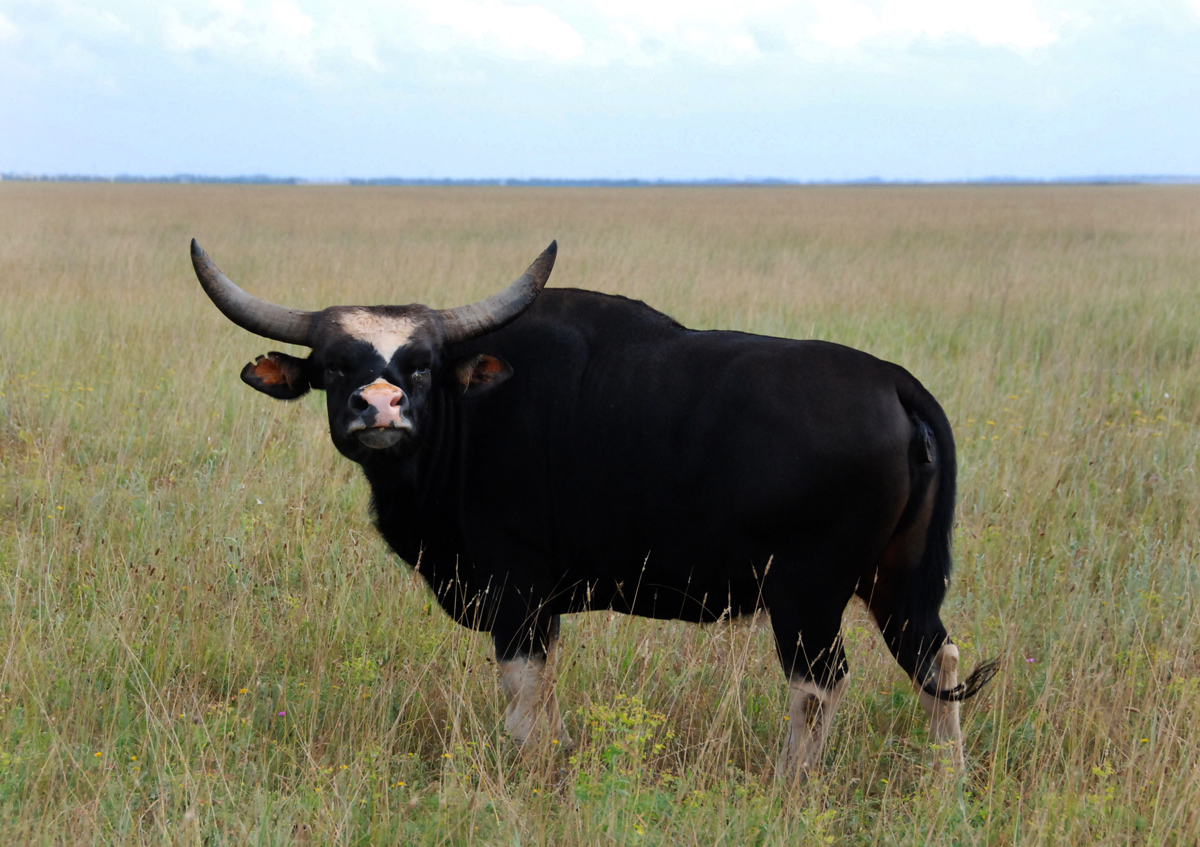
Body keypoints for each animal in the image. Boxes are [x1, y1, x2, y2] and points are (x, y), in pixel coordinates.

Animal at [189, 237, 993, 772]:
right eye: (333, 367)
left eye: (419, 366)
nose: (379, 408)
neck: (470, 413)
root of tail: (891, 381)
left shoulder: (517, 597)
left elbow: (522, 704)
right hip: (895, 582)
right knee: (937, 662)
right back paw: (947, 785)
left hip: (809, 595)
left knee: (819, 685)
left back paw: (789, 786)